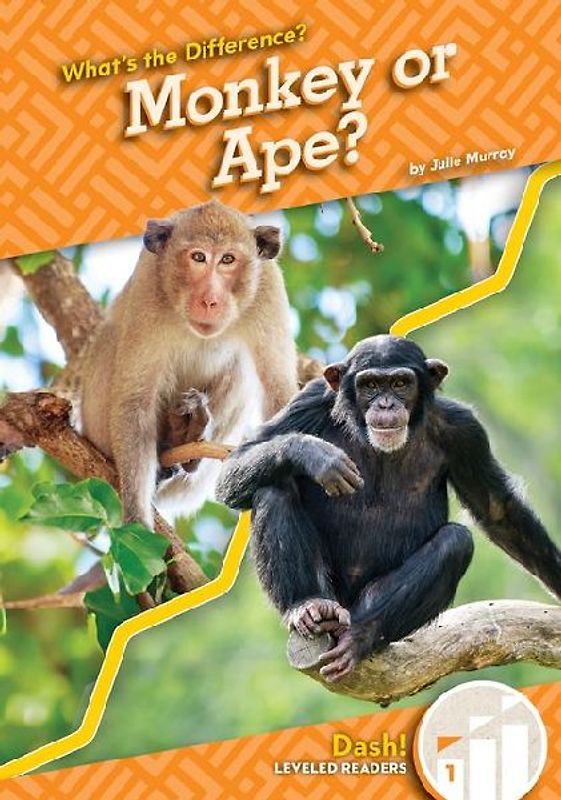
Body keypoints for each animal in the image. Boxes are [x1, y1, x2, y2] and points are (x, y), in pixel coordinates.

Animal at [79, 200, 298, 527]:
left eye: (228, 259)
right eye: (198, 257)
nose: (209, 300)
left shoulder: (267, 288)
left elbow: (278, 390)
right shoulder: (148, 286)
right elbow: (135, 401)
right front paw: (137, 521)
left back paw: (190, 439)